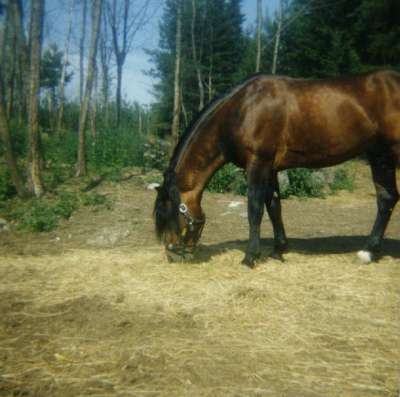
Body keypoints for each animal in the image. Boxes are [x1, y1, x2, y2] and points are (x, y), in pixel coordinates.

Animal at [154, 71, 400, 268]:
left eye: (169, 214)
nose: (172, 255)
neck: (240, 109)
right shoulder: (270, 168)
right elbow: (273, 207)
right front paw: (279, 250)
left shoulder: (258, 162)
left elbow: (255, 208)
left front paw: (250, 257)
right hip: (380, 155)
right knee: (386, 198)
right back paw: (368, 252)